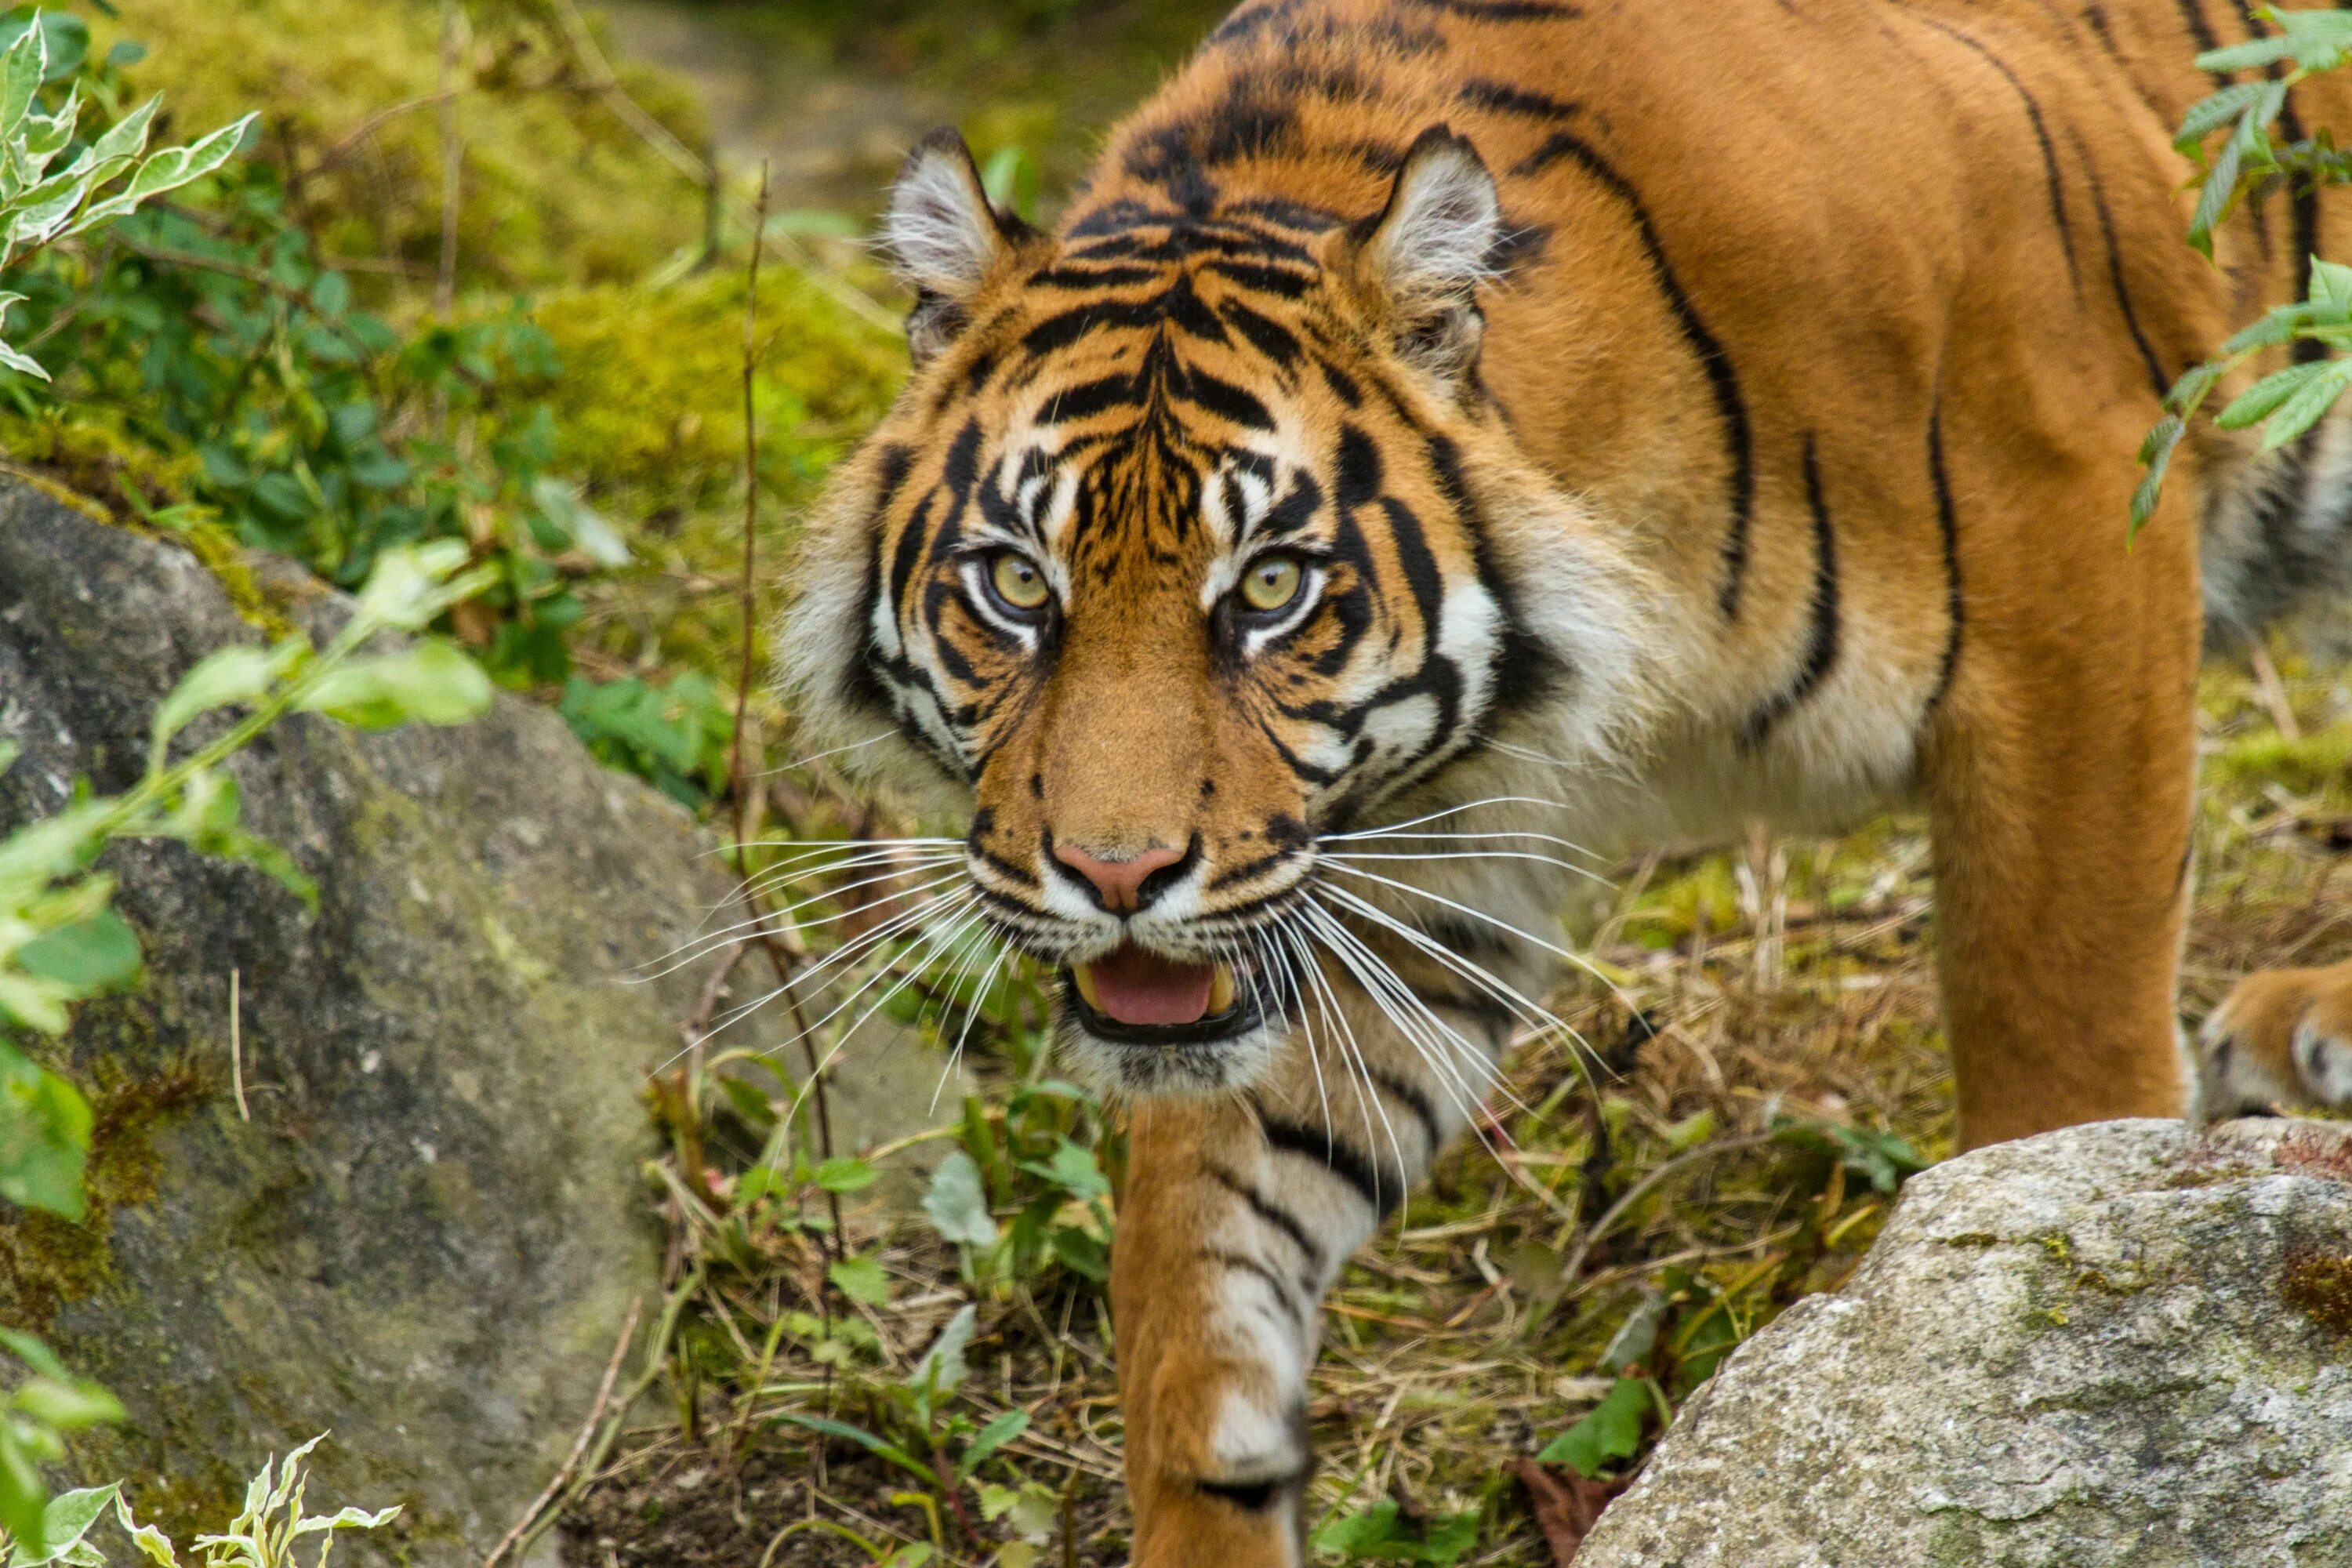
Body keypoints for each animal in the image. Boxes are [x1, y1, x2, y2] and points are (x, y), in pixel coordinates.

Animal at [786, 0, 2352, 1561]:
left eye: (1273, 589)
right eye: (1015, 585)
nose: (1116, 876)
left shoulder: (2077, 558)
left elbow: (2059, 1044)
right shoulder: (1395, 864)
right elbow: (1202, 1252)